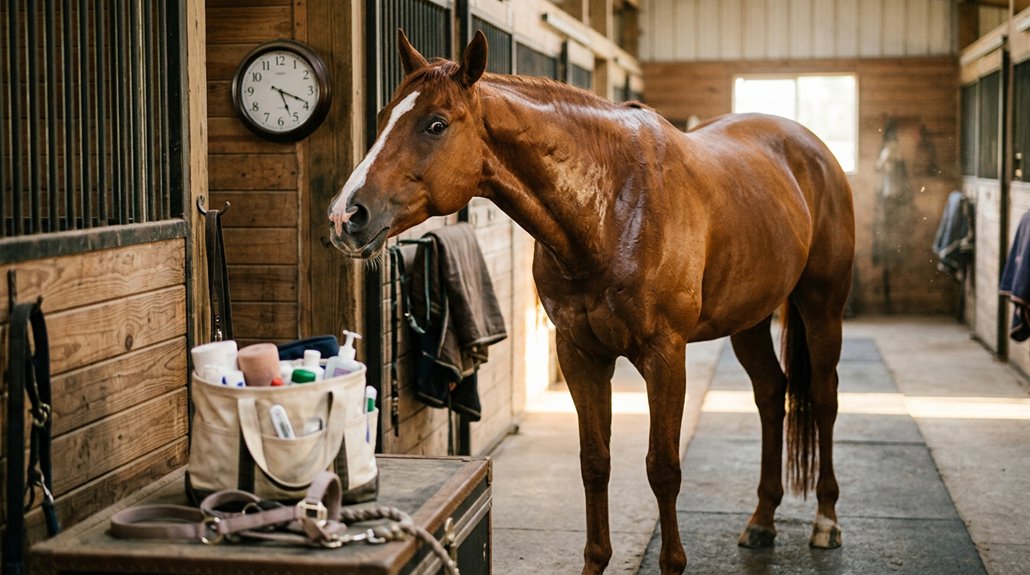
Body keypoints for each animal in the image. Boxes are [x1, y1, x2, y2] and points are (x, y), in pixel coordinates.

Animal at [329, 30, 855, 575]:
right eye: (382, 116)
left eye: (436, 124)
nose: (346, 216)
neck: (612, 208)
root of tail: (810, 148)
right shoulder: (580, 353)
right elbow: (594, 461)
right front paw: (596, 560)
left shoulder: (665, 355)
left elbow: (663, 467)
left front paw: (672, 562)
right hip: (749, 320)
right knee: (771, 394)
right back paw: (762, 521)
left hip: (822, 306)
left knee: (823, 396)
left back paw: (825, 522)